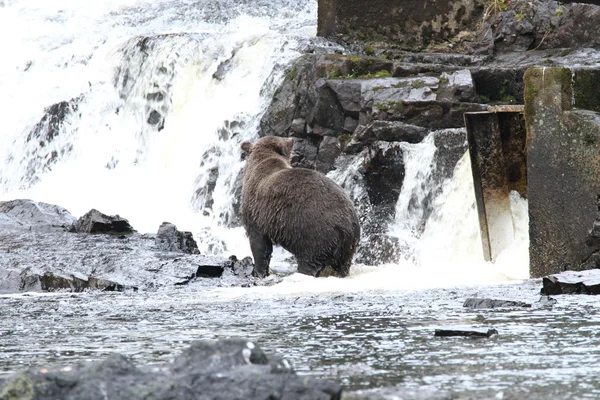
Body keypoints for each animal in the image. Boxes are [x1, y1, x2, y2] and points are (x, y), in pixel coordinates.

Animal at [240, 135, 360, 278]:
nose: (291, 138)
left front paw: (259, 271)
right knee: (343, 265)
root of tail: (347, 225)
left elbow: (260, 245)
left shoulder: (256, 212)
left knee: (309, 261)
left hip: (314, 233)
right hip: (347, 246)